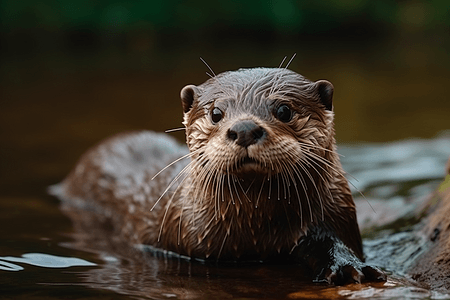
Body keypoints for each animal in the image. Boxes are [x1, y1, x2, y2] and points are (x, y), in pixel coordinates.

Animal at [51, 67, 384, 284]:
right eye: (216, 113)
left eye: (284, 110)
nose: (245, 129)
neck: (253, 234)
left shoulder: (336, 211)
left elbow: (334, 241)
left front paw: (347, 266)